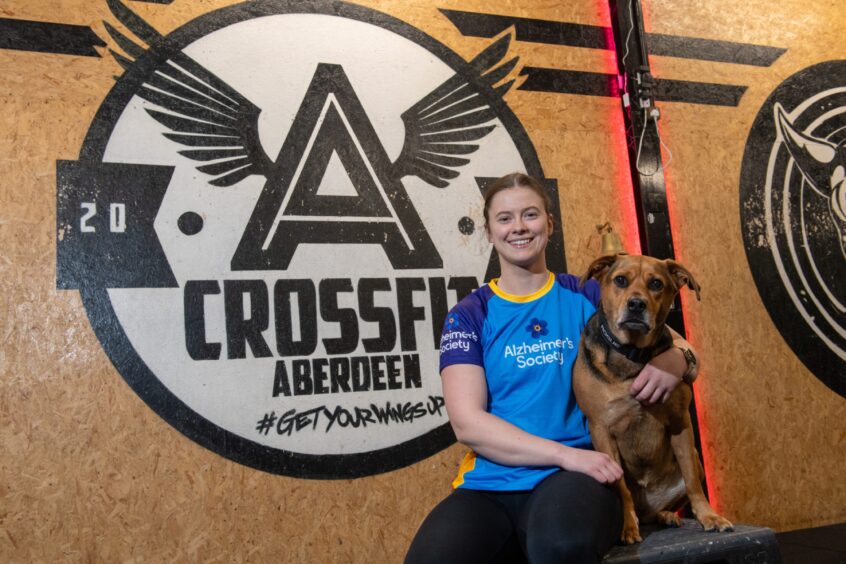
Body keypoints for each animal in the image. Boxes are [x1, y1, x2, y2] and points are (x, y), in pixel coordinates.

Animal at [576, 254, 736, 540]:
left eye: (656, 284)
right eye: (620, 280)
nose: (636, 304)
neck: (632, 354)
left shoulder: (680, 423)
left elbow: (693, 482)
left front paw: (709, 516)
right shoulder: (601, 429)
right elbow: (621, 487)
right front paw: (627, 525)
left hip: (695, 459)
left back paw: (666, 515)